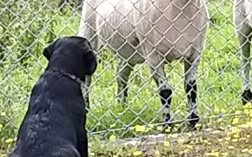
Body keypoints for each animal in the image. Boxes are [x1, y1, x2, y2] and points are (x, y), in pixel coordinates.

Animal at [78, 0, 210, 130]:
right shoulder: (153, 57)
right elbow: (165, 92)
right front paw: (167, 125)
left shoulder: (195, 54)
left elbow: (191, 88)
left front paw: (194, 122)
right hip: (89, 32)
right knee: (86, 80)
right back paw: (86, 109)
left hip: (129, 51)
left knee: (121, 73)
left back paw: (122, 106)